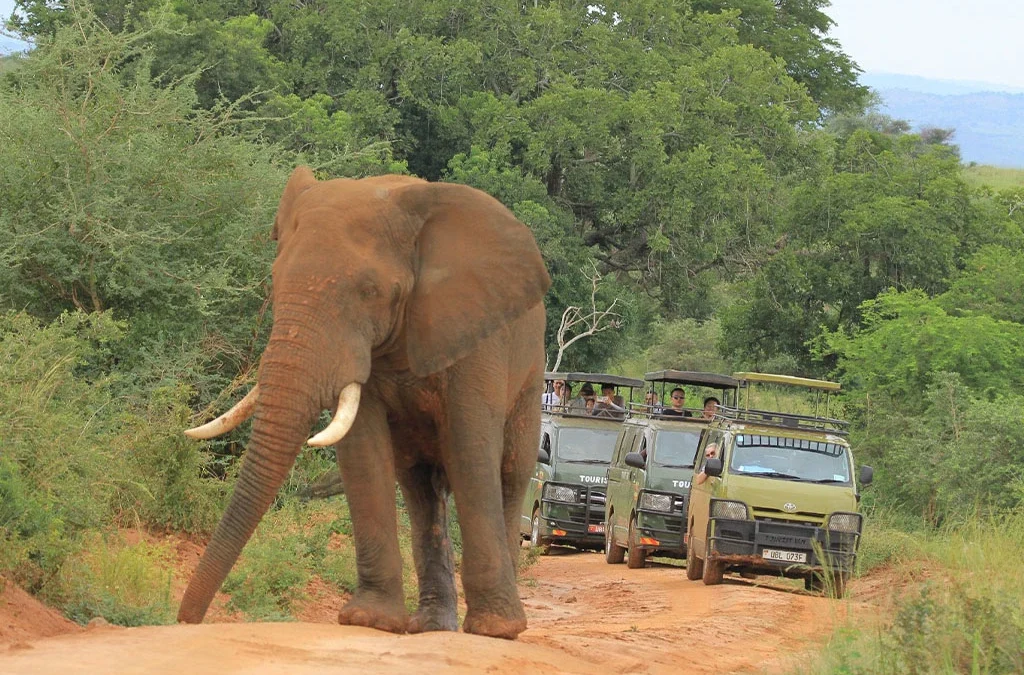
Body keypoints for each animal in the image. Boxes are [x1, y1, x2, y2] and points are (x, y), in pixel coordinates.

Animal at [177, 166, 551, 640]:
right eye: (275, 282)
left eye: (370, 290)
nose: (185, 621)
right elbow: (362, 450)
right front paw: (369, 620)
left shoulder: (476, 333)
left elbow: (469, 449)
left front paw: (493, 630)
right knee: (420, 486)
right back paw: (431, 627)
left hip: (531, 375)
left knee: (509, 473)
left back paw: (499, 626)